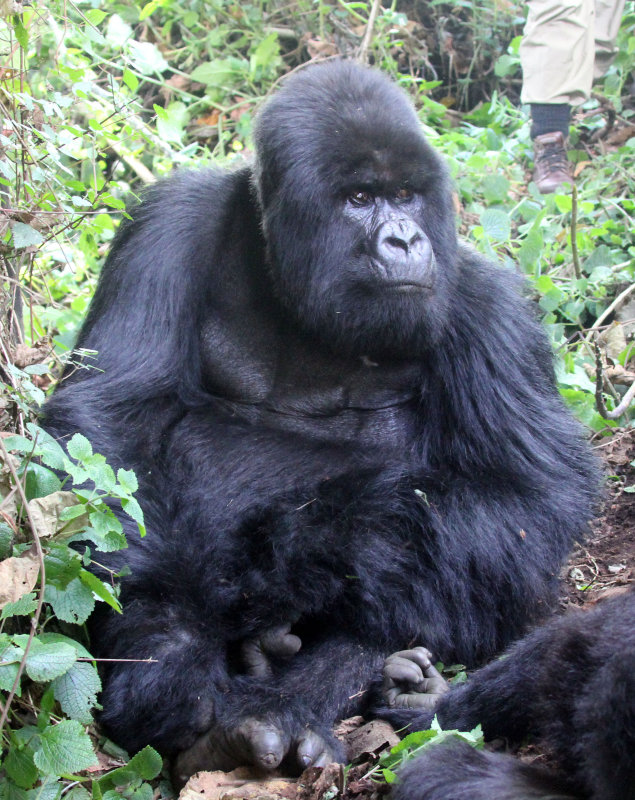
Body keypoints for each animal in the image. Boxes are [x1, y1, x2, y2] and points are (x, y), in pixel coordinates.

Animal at [42, 61, 600, 780]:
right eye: (360, 198)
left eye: (405, 195)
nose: (405, 238)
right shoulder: (169, 220)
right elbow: (110, 423)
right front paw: (166, 654)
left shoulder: (491, 309)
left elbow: (523, 502)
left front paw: (295, 551)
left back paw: (296, 703)